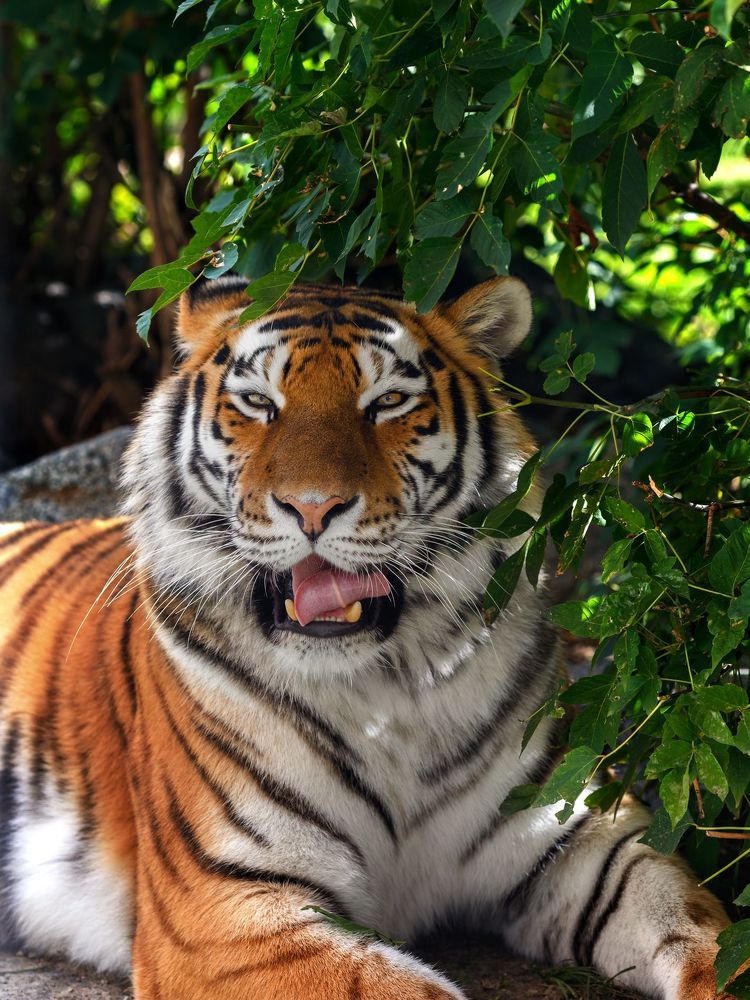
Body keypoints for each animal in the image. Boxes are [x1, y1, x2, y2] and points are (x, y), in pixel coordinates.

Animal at [0, 274, 736, 1000]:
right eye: (258, 403)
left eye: (386, 403)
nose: (313, 507)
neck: (390, 689)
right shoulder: (223, 905)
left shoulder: (582, 837)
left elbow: (706, 935)